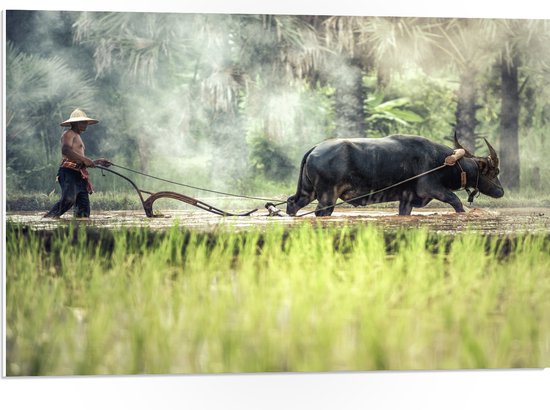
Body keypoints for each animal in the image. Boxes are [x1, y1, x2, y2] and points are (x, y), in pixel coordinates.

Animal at [286, 135, 506, 218]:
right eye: (495, 172)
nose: (501, 191)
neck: (444, 162)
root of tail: (315, 148)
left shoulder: (406, 200)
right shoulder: (433, 189)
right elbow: (456, 202)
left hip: (308, 191)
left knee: (293, 203)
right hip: (327, 197)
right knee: (321, 212)